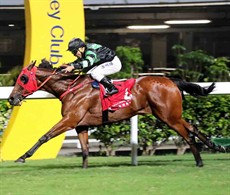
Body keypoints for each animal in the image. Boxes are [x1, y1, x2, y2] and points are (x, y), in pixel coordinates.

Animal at [8, 60, 225, 168]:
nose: (11, 98)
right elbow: (85, 149)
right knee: (193, 127)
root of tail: (171, 81)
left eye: (23, 78)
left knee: (187, 134)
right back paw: (216, 146)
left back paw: (199, 161)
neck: (70, 88)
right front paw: (84, 168)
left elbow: (44, 136)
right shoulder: (81, 125)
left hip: (169, 117)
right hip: (171, 115)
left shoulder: (69, 120)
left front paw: (22, 157)